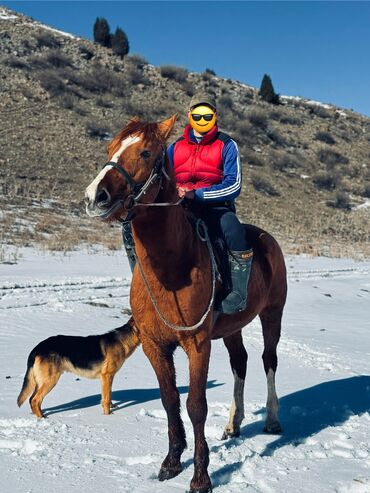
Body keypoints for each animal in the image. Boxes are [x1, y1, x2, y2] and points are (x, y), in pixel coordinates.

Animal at [85, 116, 288, 492]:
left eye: (146, 152)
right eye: (110, 148)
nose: (95, 196)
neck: (171, 267)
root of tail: (267, 238)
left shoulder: (197, 343)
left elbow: (196, 405)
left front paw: (200, 476)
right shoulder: (154, 345)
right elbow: (169, 400)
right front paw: (170, 462)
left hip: (272, 315)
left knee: (269, 361)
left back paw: (271, 419)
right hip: (232, 328)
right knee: (240, 363)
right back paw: (233, 424)